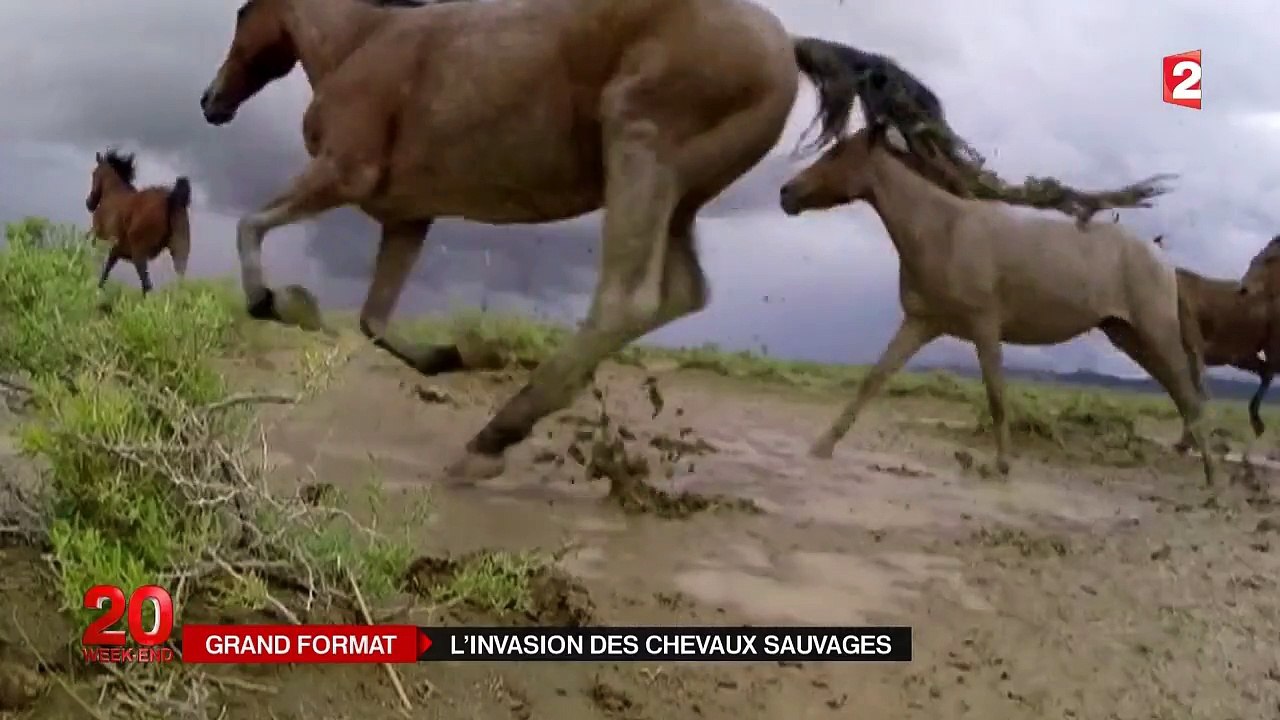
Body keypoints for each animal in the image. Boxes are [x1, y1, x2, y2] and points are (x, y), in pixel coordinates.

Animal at [86, 150, 192, 295]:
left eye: (94, 173)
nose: (89, 203)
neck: (112, 192)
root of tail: (171, 200)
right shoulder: (115, 250)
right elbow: (106, 270)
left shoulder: (98, 232)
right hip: (179, 253)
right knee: (179, 284)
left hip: (139, 255)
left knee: (147, 285)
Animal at [196, 0, 930, 482]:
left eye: (241, 10)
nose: (210, 101)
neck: (363, 43)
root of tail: (785, 41)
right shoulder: (408, 218)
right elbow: (376, 320)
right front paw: (456, 356)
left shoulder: (342, 174)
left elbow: (250, 226)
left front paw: (280, 302)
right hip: (679, 197)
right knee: (683, 293)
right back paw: (530, 410)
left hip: (640, 150)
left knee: (629, 299)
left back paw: (494, 436)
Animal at [777, 126, 1216, 485]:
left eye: (837, 152)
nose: (786, 193)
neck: (943, 229)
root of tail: (1162, 260)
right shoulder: (921, 323)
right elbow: (875, 378)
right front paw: (822, 445)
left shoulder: (984, 326)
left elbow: (996, 395)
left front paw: (1001, 466)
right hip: (1128, 336)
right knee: (1181, 395)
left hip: (1154, 332)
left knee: (1189, 395)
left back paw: (1212, 482)